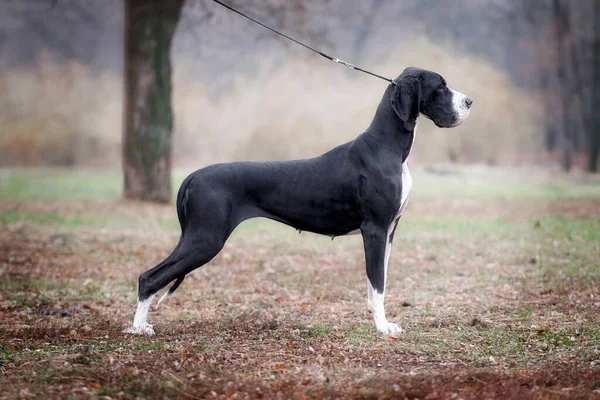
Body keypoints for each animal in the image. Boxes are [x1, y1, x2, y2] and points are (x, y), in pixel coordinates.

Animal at [125, 67, 474, 336]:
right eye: (440, 86)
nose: (470, 101)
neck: (388, 145)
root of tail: (193, 176)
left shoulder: (389, 231)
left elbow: (378, 282)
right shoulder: (374, 229)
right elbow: (377, 284)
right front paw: (382, 328)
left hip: (196, 237)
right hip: (205, 239)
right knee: (149, 277)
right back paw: (138, 328)